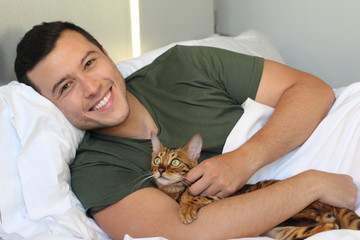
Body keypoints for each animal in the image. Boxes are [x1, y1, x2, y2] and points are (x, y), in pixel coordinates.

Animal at [149, 132, 360, 239]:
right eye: (157, 159)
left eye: (175, 162)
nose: (160, 170)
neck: (173, 191)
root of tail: (327, 203)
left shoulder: (218, 191)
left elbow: (191, 195)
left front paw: (186, 209)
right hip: (283, 230)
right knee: (330, 226)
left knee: (329, 223)